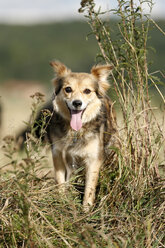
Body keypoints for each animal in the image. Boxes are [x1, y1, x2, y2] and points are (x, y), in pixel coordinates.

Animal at [45, 61, 117, 210]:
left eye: (87, 91)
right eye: (68, 89)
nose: (77, 103)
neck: (75, 132)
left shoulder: (94, 158)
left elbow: (89, 187)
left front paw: (86, 209)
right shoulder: (58, 153)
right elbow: (60, 182)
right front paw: (63, 201)